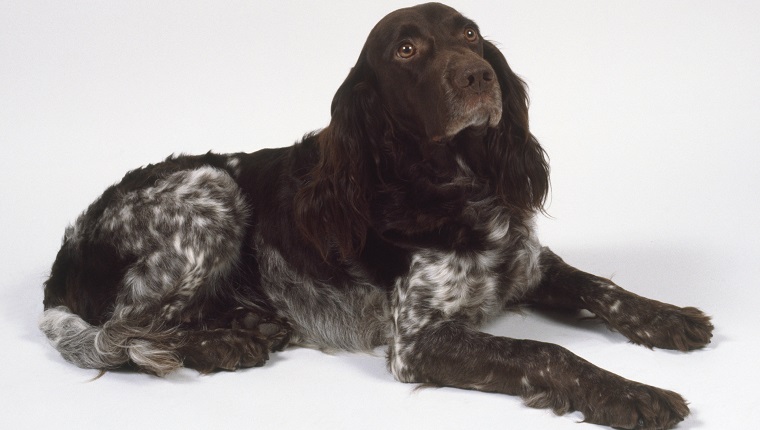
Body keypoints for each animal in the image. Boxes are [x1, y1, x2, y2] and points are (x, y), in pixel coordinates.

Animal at [38, 2, 716, 426]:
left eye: (471, 34)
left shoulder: (527, 264)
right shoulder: (416, 342)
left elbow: (604, 287)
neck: (455, 185)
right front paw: (632, 393)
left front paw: (670, 318)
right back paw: (226, 342)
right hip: (210, 192)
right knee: (128, 331)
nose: (480, 76)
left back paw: (247, 323)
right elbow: (547, 353)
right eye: (407, 49)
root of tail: (65, 253)